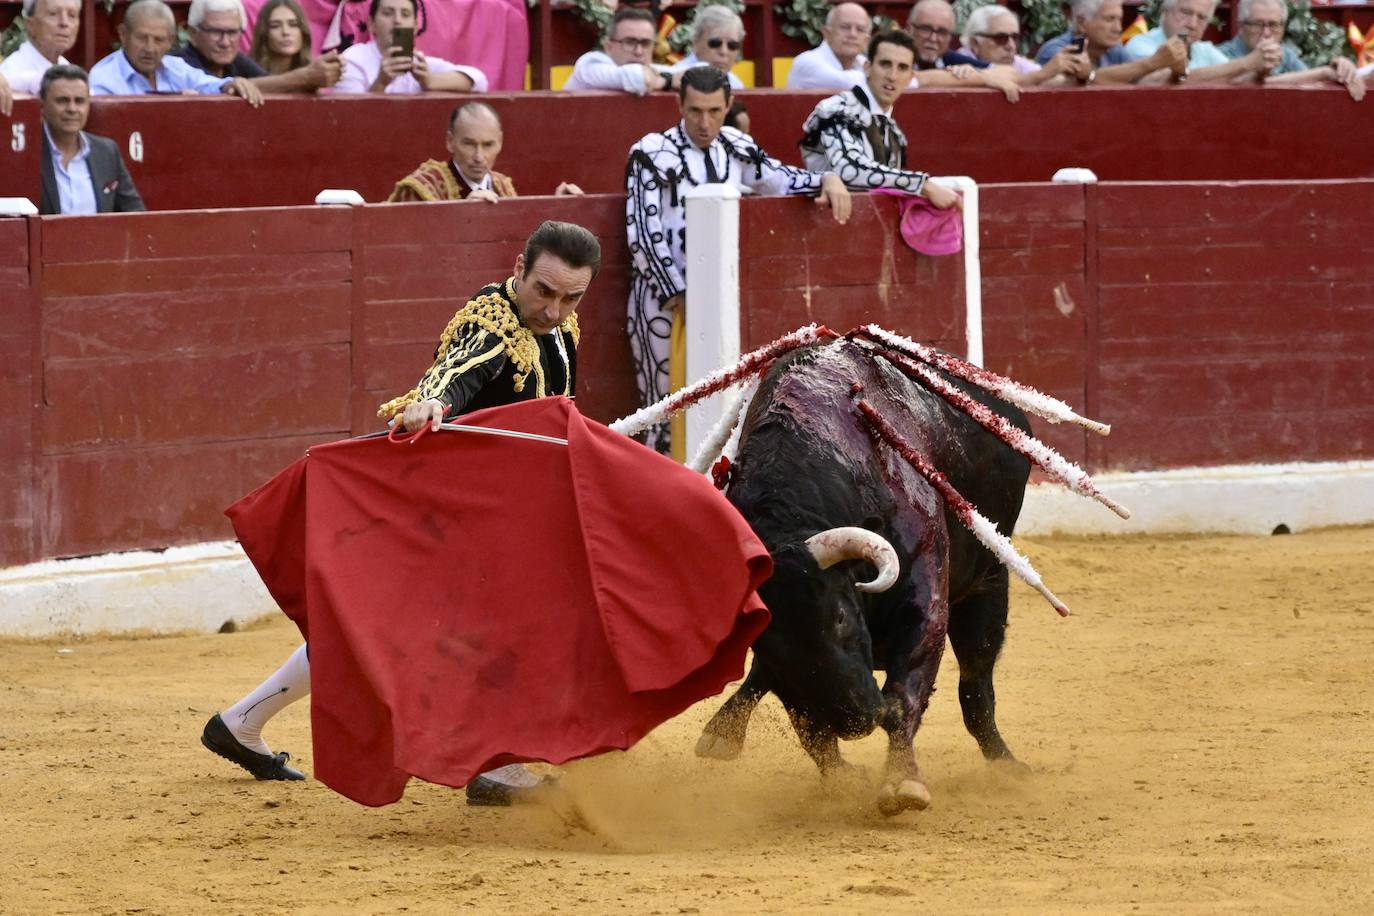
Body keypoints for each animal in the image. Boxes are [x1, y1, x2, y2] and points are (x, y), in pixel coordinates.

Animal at [697, 339, 1033, 818]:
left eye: (839, 617)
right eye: (760, 639)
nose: (856, 719)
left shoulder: (925, 600)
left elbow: (904, 696)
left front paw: (902, 783)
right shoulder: (790, 672)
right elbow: (806, 719)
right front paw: (842, 778)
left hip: (989, 582)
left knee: (976, 683)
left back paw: (1006, 765)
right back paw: (722, 734)